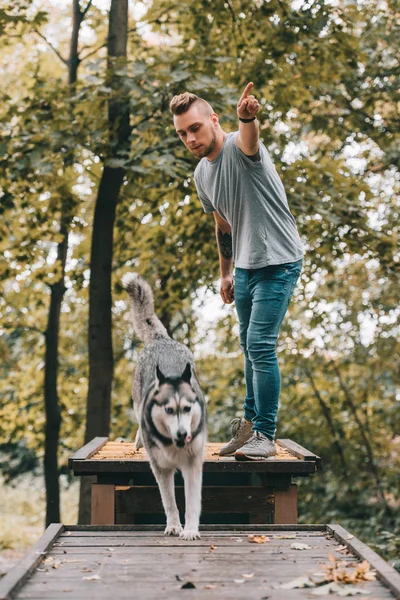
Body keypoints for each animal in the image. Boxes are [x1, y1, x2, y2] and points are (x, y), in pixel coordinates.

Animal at [122, 272, 206, 540]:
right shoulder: (161, 468)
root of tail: (162, 339)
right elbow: (169, 500)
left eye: (188, 409)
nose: (182, 433)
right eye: (168, 410)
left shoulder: (193, 465)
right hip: (137, 403)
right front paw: (174, 526)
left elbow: (192, 501)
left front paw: (190, 530)